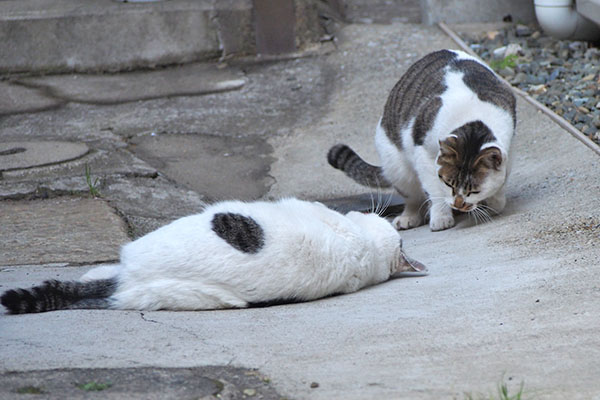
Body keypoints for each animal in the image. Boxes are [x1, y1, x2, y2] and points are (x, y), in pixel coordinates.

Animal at [328, 49, 516, 231]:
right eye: (448, 184)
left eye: (475, 191)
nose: (458, 205)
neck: (473, 117)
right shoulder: (423, 152)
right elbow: (434, 189)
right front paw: (441, 217)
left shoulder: (508, 145)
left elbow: (501, 182)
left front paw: (493, 202)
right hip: (398, 169)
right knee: (412, 197)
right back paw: (408, 217)